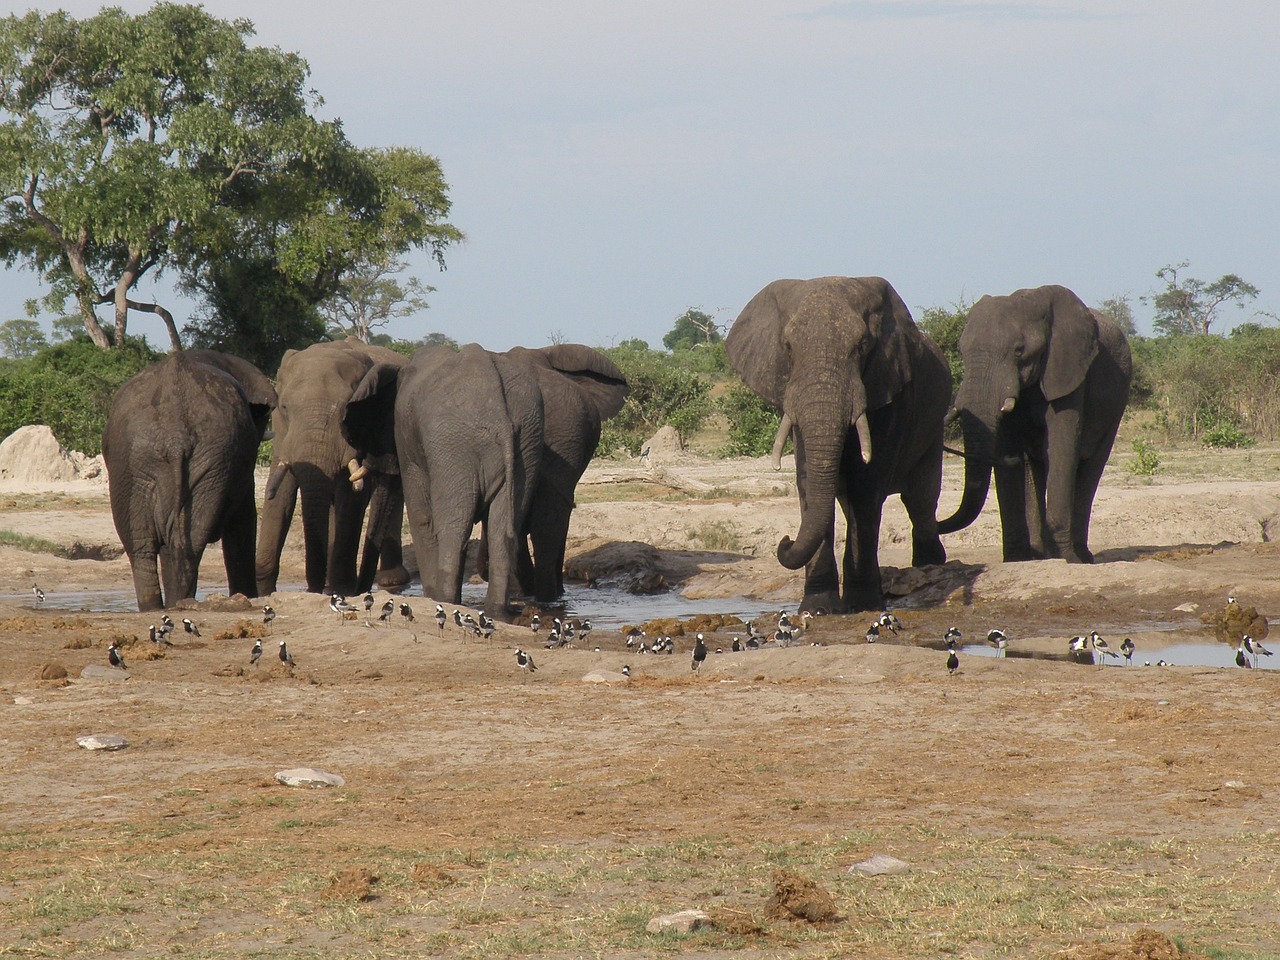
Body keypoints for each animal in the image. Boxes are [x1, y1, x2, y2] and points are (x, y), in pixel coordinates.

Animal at [102, 350, 275, 611]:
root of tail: (176, 436)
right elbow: (243, 520)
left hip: (138, 464)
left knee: (147, 543)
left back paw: (161, 606)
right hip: (182, 460)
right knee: (180, 542)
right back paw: (176, 603)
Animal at [254, 337, 404, 593]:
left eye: (347, 408)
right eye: (284, 407)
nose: (311, 589)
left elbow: (352, 497)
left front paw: (344, 589)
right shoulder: (283, 432)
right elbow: (281, 494)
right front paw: (262, 590)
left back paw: (388, 581)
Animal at [394, 345, 545, 616]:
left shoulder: (406, 441)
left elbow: (422, 517)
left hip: (452, 445)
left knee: (454, 525)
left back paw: (444, 600)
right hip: (529, 438)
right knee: (502, 529)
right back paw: (496, 611)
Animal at [727, 273, 957, 611]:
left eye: (862, 346)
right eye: (787, 347)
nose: (785, 540)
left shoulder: (889, 388)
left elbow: (867, 485)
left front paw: (862, 605)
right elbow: (808, 481)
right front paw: (818, 608)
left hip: (933, 426)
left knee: (920, 498)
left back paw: (929, 565)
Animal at [936, 284, 1136, 563]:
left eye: (1019, 350)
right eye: (961, 350)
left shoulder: (1069, 373)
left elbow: (1062, 451)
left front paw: (1067, 560)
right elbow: (1008, 448)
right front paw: (1015, 560)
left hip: (1117, 403)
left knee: (1091, 467)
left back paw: (1081, 557)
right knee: (1035, 472)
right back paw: (1040, 556)